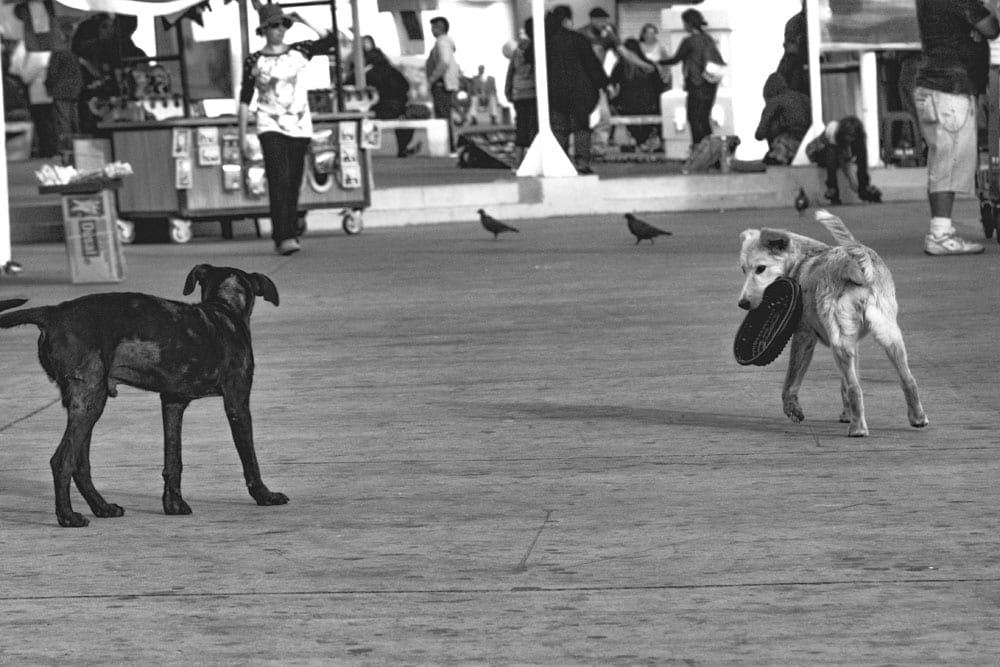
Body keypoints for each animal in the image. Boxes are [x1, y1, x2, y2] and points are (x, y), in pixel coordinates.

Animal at [0, 264, 290, 528]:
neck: (224, 308)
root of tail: (53, 313)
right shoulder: (237, 402)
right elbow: (249, 458)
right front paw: (265, 496)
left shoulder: (172, 402)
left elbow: (173, 459)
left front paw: (173, 505)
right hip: (90, 400)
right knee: (61, 461)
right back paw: (68, 517)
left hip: (85, 402)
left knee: (80, 465)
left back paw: (103, 508)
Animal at [736, 210, 928, 438]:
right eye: (743, 270)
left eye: (761, 268)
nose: (743, 303)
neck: (801, 261)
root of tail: (858, 267)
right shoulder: (853, 342)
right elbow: (845, 383)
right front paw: (847, 413)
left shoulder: (803, 336)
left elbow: (791, 380)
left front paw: (792, 408)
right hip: (888, 335)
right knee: (907, 380)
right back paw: (917, 417)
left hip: (841, 343)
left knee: (855, 388)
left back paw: (858, 428)